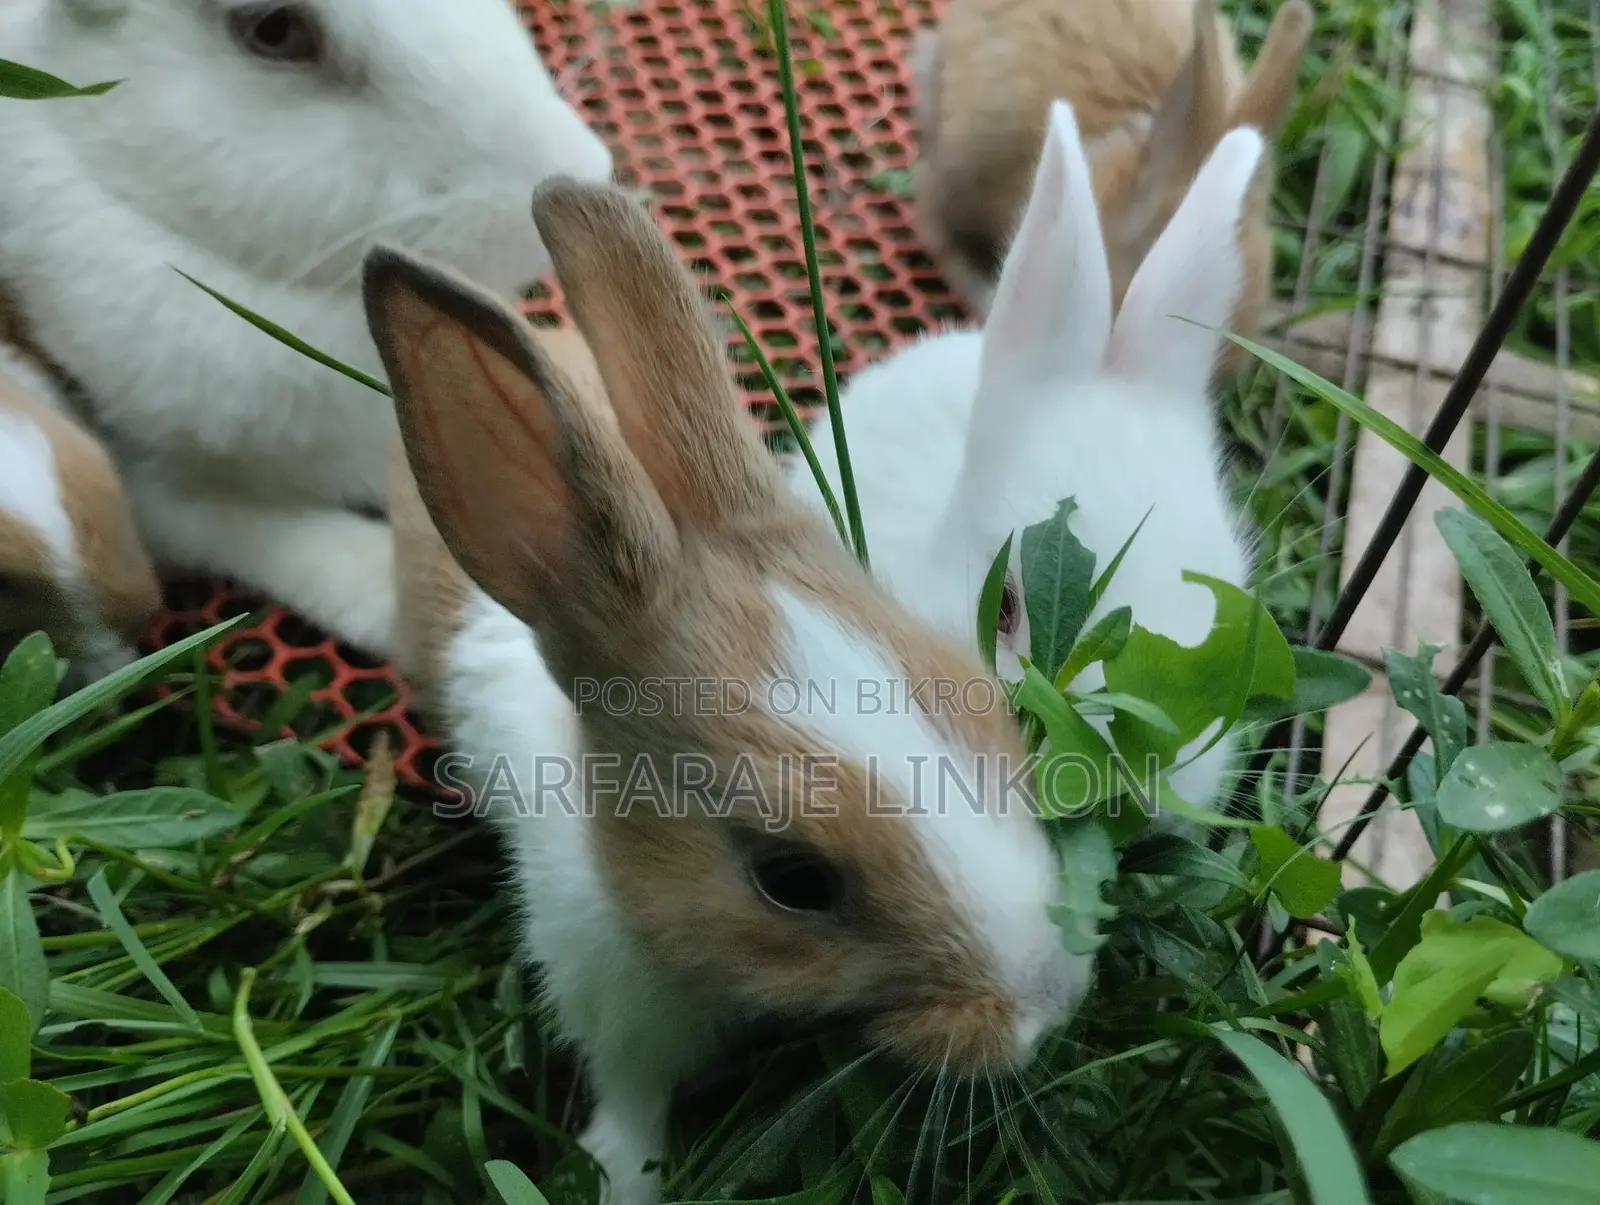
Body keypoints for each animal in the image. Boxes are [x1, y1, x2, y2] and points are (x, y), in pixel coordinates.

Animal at [373, 178, 1094, 1205]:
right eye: (791, 880)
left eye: (991, 712)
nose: (1048, 1007)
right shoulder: (605, 991)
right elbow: (630, 1099)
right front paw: (625, 1176)